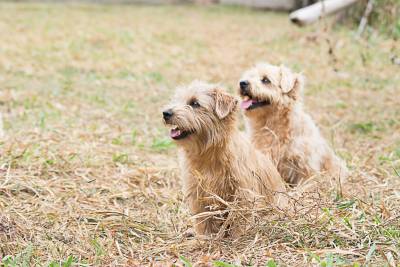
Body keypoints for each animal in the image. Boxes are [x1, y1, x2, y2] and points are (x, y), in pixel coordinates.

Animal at [162, 81, 288, 237]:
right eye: (176, 99)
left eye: (195, 103)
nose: (166, 113)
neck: (208, 154)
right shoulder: (198, 195)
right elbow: (203, 221)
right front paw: (204, 238)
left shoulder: (243, 193)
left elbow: (240, 219)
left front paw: (238, 237)